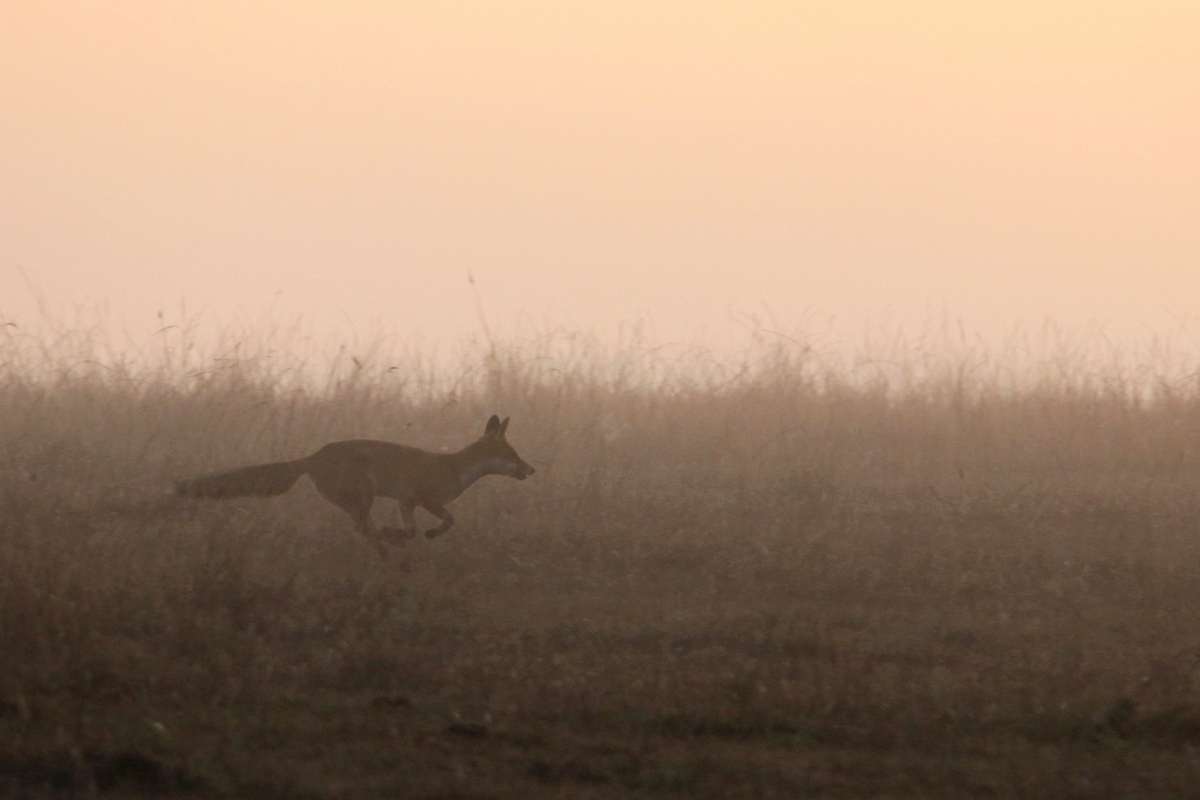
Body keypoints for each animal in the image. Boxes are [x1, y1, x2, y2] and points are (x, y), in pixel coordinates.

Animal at [174, 412, 535, 556]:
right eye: (514, 455)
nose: (532, 470)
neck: (455, 468)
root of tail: (312, 456)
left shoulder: (410, 502)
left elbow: (427, 526)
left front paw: (413, 535)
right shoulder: (415, 498)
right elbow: (442, 523)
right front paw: (421, 534)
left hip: (360, 501)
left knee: (362, 529)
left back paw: (385, 547)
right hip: (363, 496)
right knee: (363, 528)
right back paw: (387, 546)